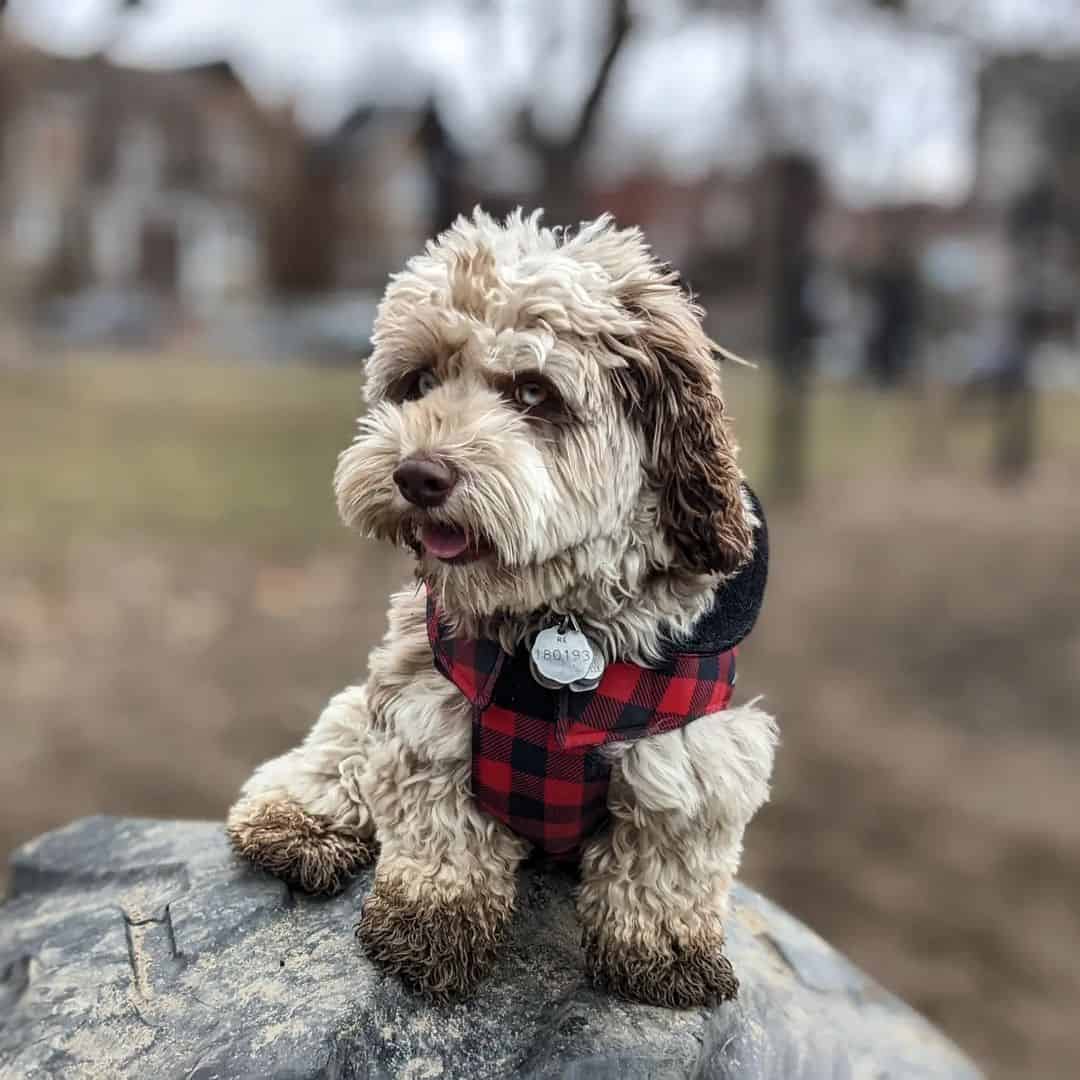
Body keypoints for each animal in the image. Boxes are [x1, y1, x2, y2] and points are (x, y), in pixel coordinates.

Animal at [225, 208, 777, 1002]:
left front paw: (662, 950)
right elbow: (439, 826)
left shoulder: (693, 751)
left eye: (535, 392)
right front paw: (431, 921)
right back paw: (296, 817)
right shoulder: (424, 702)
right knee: (342, 732)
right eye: (420, 381)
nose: (417, 475)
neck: (556, 628)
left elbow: (666, 854)